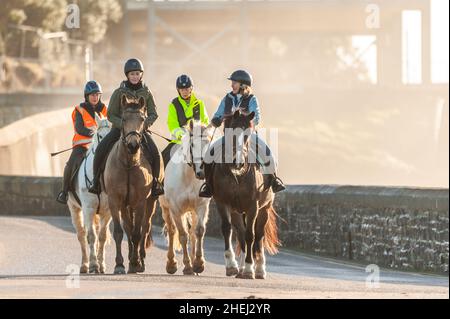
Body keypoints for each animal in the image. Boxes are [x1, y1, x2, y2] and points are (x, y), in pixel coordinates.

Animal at [69, 115, 114, 276]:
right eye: (100, 136)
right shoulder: (88, 209)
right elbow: (91, 236)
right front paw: (94, 265)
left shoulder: (107, 211)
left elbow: (102, 237)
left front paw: (101, 265)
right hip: (74, 209)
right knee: (81, 235)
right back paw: (84, 265)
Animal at [160, 121, 216, 276]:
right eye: (192, 145)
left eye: (209, 144)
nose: (202, 171)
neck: (188, 177)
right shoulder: (175, 209)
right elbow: (182, 235)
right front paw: (187, 266)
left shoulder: (201, 206)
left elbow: (199, 231)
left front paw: (198, 263)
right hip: (165, 208)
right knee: (172, 231)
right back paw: (171, 264)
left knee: (192, 233)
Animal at [212, 110, 282, 280]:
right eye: (229, 131)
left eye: (248, 133)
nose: (237, 162)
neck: (238, 175)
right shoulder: (222, 202)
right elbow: (227, 230)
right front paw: (232, 266)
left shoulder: (253, 206)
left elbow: (252, 235)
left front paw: (251, 269)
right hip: (237, 211)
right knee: (241, 235)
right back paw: (241, 269)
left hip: (264, 209)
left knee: (259, 235)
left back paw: (259, 269)